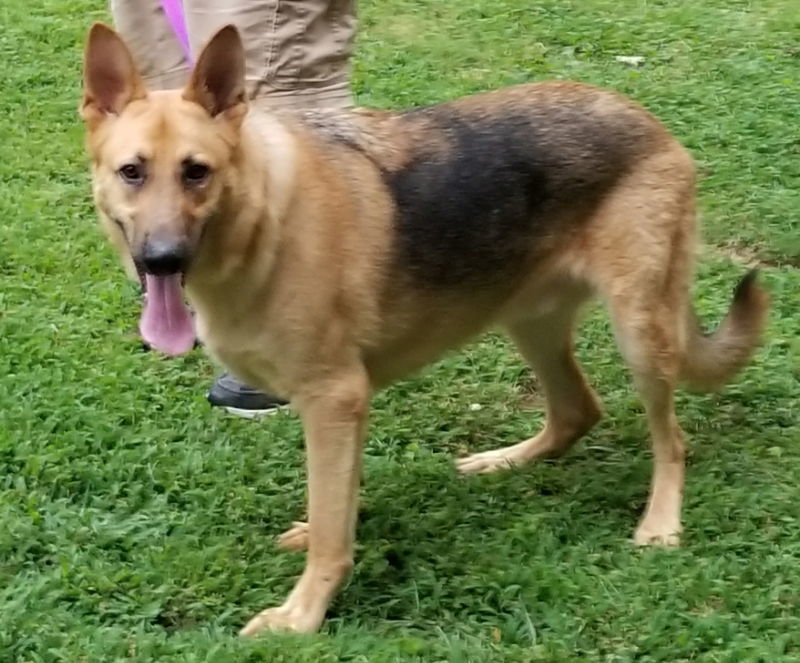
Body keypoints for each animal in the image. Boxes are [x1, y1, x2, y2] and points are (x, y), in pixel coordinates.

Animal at [79, 22, 768, 632]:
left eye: (196, 172)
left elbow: (331, 526)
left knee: (671, 441)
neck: (260, 217)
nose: (161, 260)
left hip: (640, 333)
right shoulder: (343, 409)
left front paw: (303, 615)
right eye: (132, 172)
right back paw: (506, 461)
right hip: (529, 321)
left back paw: (660, 523)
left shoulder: (334, 399)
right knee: (578, 410)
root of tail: (645, 118)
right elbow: (335, 509)